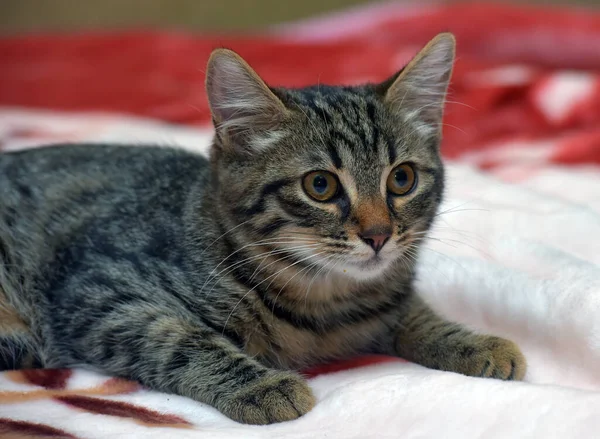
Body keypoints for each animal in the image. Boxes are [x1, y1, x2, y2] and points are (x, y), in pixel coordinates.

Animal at [0, 34, 524, 426]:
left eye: (402, 179)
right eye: (320, 185)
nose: (378, 235)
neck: (324, 301)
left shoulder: (383, 300)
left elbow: (412, 313)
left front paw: (472, 341)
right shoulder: (96, 292)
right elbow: (178, 338)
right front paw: (260, 385)